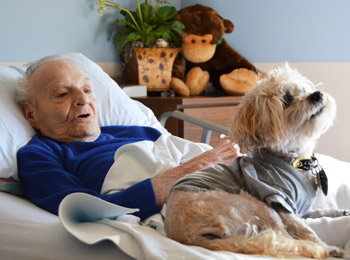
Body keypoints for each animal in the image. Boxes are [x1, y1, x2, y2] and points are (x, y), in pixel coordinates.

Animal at [163, 65, 348, 258]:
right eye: (286, 99)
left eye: (304, 90)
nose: (317, 94)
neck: (295, 160)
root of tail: (188, 238)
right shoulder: (279, 201)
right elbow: (305, 229)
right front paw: (322, 243)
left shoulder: (301, 208)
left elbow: (316, 212)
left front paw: (337, 211)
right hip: (258, 205)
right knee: (282, 236)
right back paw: (329, 249)